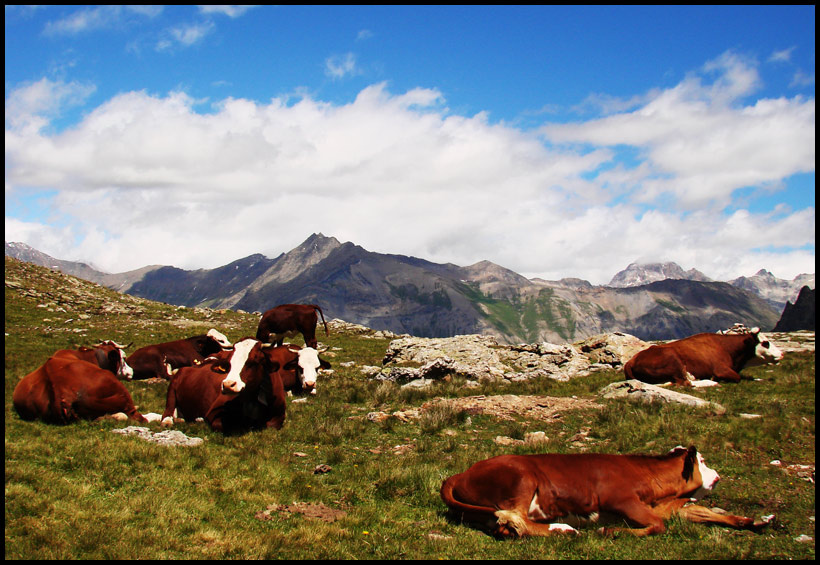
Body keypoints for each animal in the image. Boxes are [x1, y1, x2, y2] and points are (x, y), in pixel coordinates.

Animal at [440, 446, 773, 538]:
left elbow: (706, 512)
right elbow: (658, 525)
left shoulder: (671, 505)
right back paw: (563, 529)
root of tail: (461, 473)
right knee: (514, 519)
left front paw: (757, 521)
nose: (718, 475)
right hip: (522, 477)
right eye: (702, 461)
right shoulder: (621, 499)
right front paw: (612, 532)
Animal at [623, 328, 784, 387]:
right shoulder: (721, 369)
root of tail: (630, 362)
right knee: (686, 383)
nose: (782, 354)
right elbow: (737, 378)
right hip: (672, 359)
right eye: (765, 343)